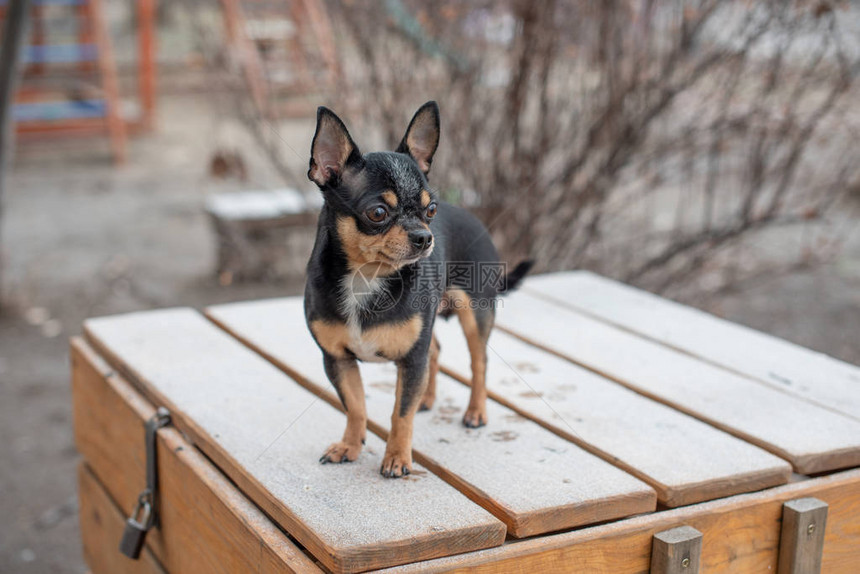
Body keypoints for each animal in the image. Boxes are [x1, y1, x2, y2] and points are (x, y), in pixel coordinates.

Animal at [302, 101, 532, 480]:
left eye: (431, 209)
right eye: (377, 212)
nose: (425, 237)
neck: (367, 278)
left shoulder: (410, 359)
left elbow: (400, 414)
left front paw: (397, 458)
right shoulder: (337, 359)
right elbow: (355, 406)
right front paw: (350, 446)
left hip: (476, 313)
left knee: (479, 362)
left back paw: (475, 412)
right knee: (435, 350)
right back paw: (427, 396)